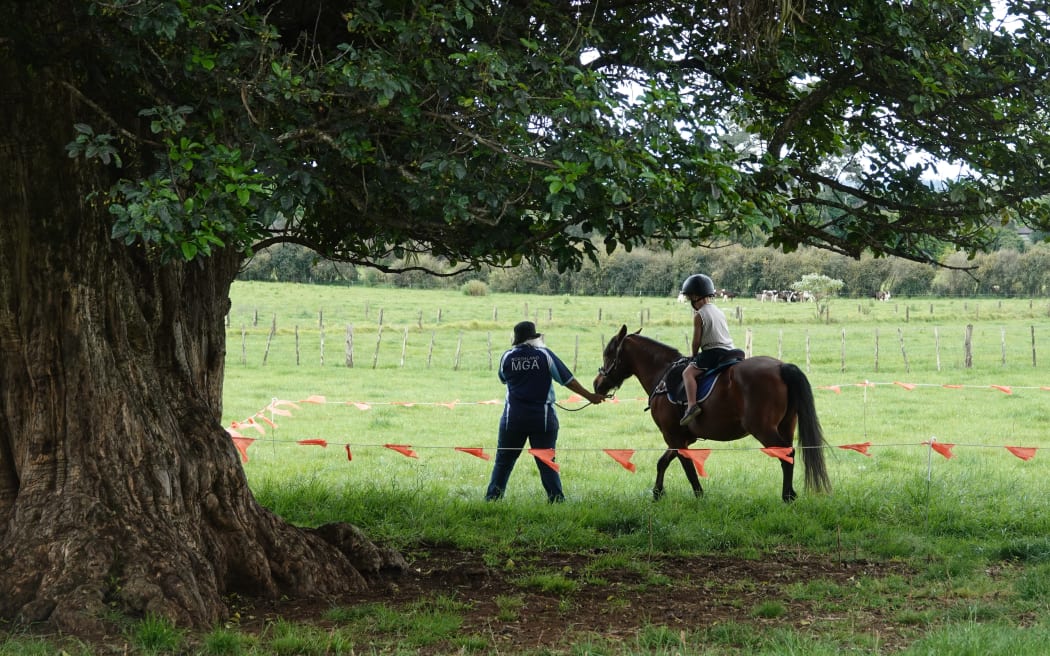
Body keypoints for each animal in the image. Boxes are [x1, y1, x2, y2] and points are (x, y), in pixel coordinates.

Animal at [593, 325, 831, 502]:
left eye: (608, 353)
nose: (597, 384)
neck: (663, 374)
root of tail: (781, 367)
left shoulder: (673, 435)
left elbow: (687, 467)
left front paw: (699, 496)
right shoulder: (679, 437)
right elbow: (663, 461)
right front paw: (657, 493)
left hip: (763, 429)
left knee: (786, 453)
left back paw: (787, 496)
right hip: (787, 425)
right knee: (787, 455)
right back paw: (790, 493)